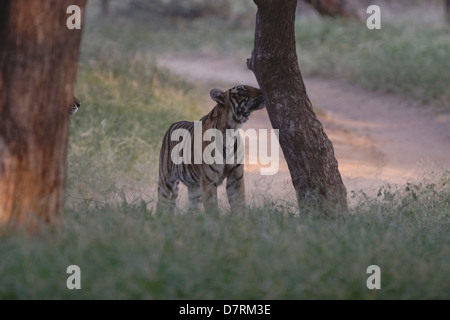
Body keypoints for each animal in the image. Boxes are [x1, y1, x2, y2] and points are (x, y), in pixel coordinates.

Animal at [157, 84, 264, 215]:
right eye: (241, 90)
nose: (263, 92)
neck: (232, 129)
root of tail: (172, 125)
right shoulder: (209, 181)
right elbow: (213, 208)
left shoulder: (236, 178)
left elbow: (239, 204)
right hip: (166, 181)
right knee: (161, 204)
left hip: (194, 188)